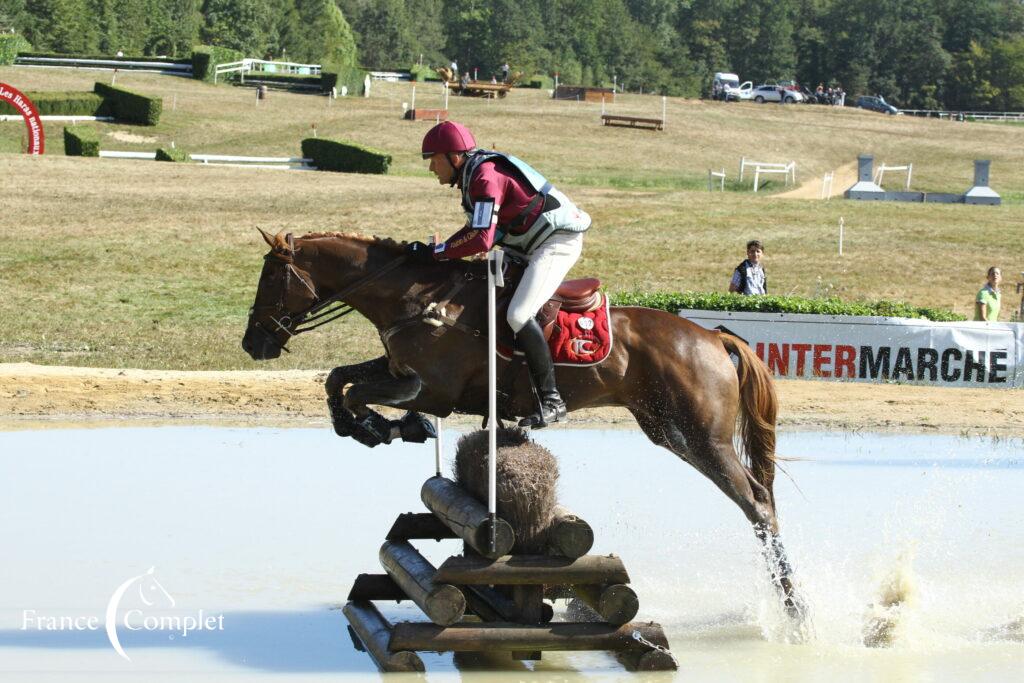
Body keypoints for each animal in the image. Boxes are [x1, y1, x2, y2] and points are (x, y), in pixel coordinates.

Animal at [239, 229, 806, 626]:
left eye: (270, 280)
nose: (253, 344)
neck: (415, 298)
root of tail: (712, 337)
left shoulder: (433, 389)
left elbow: (361, 392)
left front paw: (382, 427)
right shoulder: (400, 372)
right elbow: (340, 380)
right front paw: (384, 428)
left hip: (701, 435)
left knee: (756, 505)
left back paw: (796, 612)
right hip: (667, 429)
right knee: (761, 500)